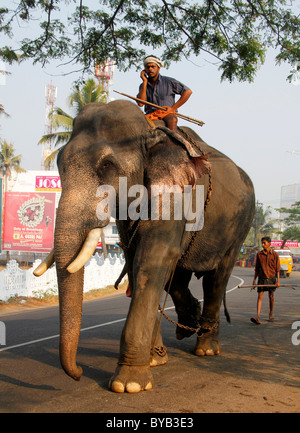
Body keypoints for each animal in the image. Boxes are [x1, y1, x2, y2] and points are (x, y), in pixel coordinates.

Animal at [35, 99, 255, 394]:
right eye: (58, 163)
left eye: (107, 165)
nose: (79, 373)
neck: (150, 132)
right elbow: (137, 260)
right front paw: (154, 360)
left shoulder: (177, 193)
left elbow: (152, 259)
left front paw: (129, 384)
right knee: (178, 276)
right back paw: (187, 325)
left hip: (240, 226)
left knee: (216, 279)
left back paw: (206, 349)